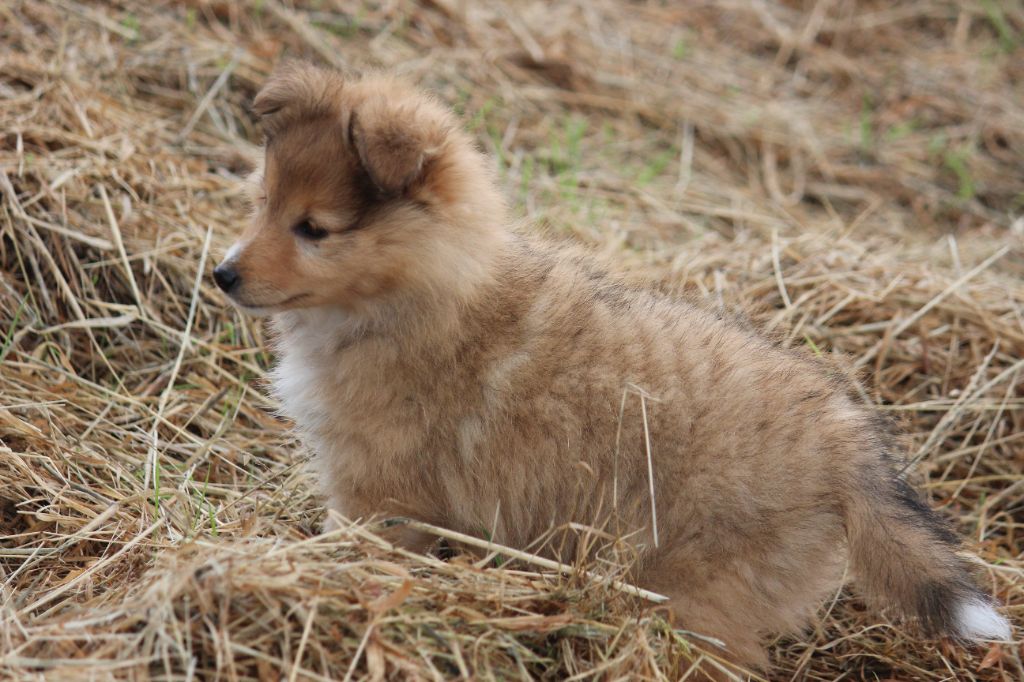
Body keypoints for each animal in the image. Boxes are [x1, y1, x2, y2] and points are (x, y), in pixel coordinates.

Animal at [211, 65, 1011, 667]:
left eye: (314, 230)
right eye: (263, 202)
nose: (223, 275)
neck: (420, 288)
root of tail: (849, 448)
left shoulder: (380, 492)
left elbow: (356, 542)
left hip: (695, 590)